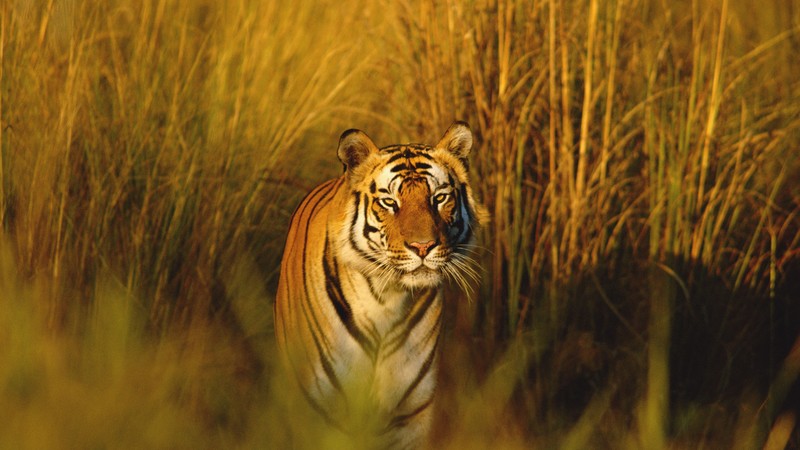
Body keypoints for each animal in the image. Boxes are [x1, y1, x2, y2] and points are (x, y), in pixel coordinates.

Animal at [274, 121, 486, 449]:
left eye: (439, 198)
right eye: (390, 202)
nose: (423, 247)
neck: (387, 299)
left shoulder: (409, 417)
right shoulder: (320, 412)